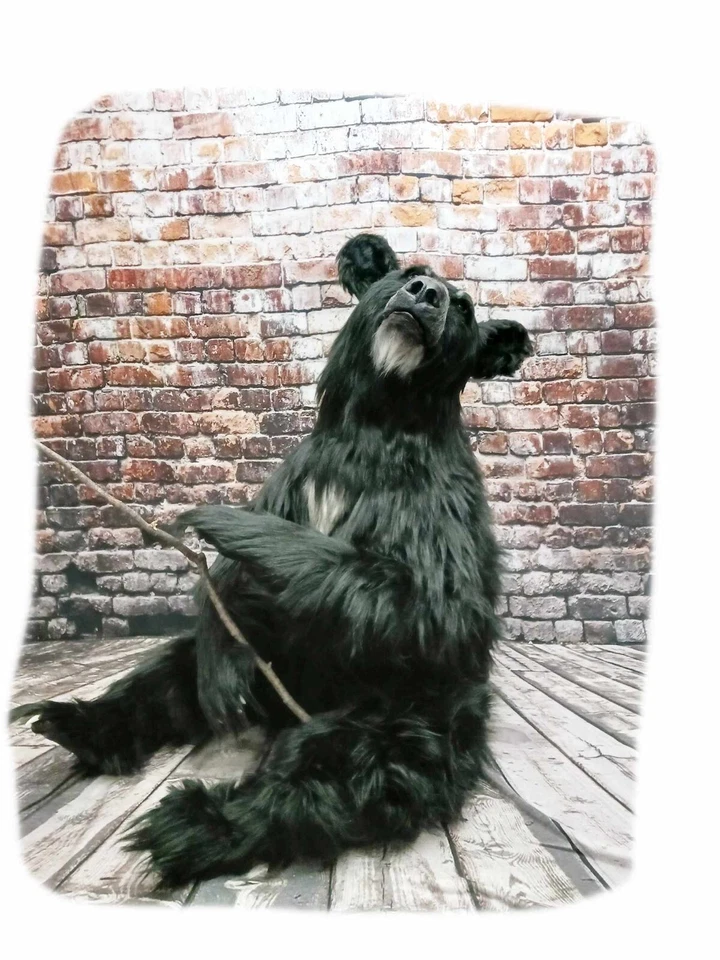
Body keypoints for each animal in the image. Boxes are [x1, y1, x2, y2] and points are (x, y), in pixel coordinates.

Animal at [23, 233, 532, 886]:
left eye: (465, 308)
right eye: (406, 273)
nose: (427, 294)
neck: (378, 420)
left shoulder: (434, 509)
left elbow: (427, 601)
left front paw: (221, 520)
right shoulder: (297, 482)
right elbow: (233, 598)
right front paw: (223, 621)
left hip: (415, 706)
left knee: (363, 763)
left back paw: (195, 823)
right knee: (170, 673)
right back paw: (76, 724)